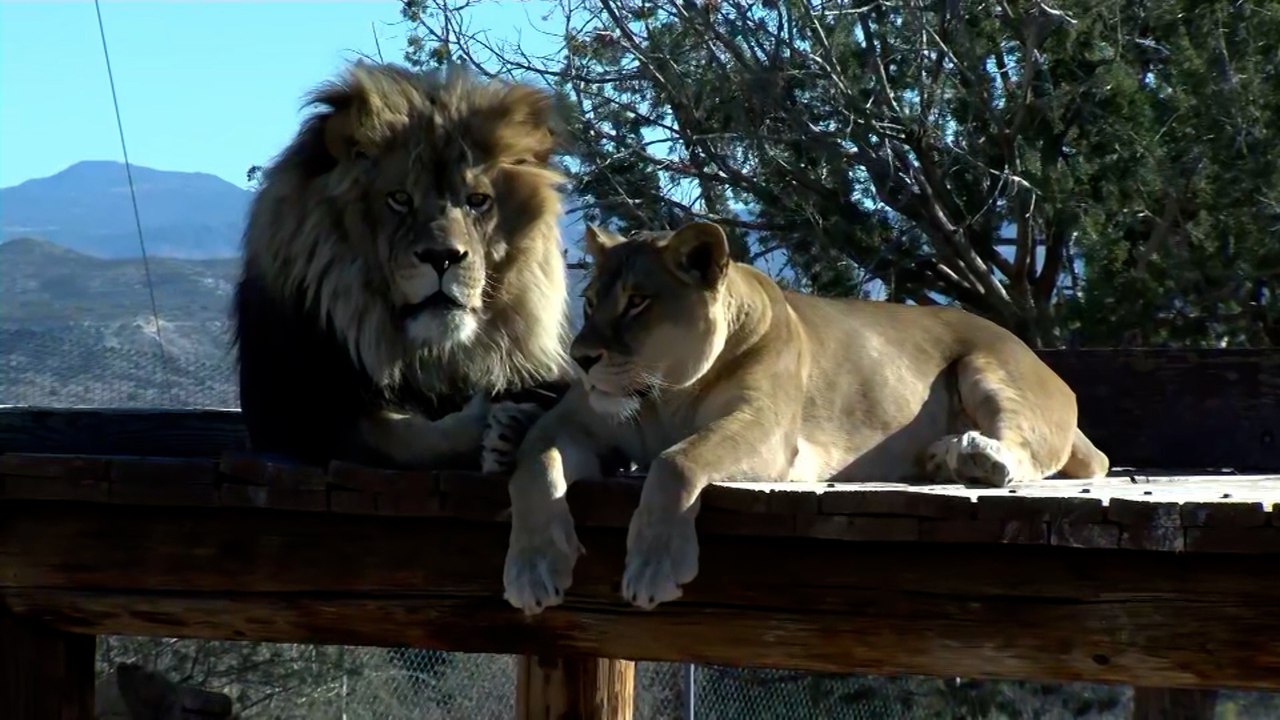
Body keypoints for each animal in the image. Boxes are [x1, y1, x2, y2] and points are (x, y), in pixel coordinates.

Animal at [231, 61, 572, 473]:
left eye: (477, 201)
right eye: (399, 199)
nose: (442, 257)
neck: (431, 356)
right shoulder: (296, 419)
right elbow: (398, 437)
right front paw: (498, 421)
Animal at [501, 220, 1112, 614]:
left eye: (636, 302)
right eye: (588, 302)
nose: (580, 358)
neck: (664, 396)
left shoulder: (767, 431)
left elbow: (677, 462)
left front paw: (653, 565)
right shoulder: (571, 424)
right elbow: (532, 468)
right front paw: (532, 570)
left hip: (986, 364)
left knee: (1042, 457)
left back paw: (974, 457)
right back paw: (944, 460)